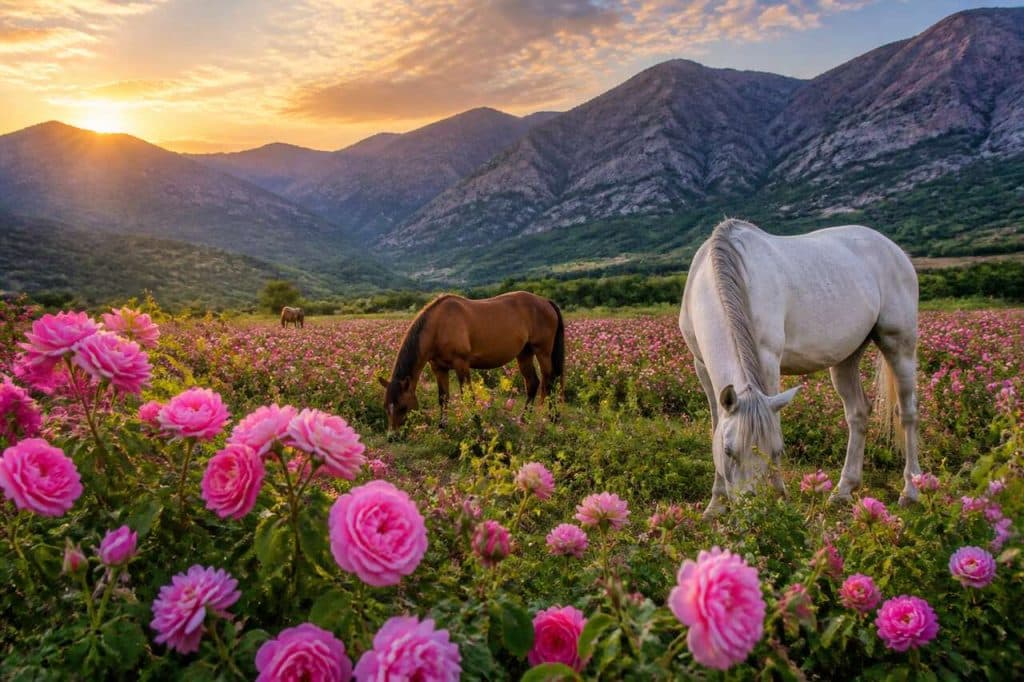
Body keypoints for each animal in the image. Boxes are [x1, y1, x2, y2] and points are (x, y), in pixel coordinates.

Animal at [378, 291, 565, 431]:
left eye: (403, 407)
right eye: (386, 406)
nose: (393, 436)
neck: (439, 326)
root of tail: (545, 301)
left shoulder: (461, 364)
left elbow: (468, 396)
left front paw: (477, 424)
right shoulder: (439, 368)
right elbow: (443, 398)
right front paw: (442, 426)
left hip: (543, 352)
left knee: (550, 382)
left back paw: (553, 417)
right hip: (524, 354)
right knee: (533, 383)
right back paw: (524, 419)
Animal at [678, 219, 920, 518]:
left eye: (776, 450)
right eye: (727, 451)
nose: (752, 507)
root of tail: (895, 251)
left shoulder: (768, 361)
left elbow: (774, 422)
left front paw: (779, 494)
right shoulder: (702, 367)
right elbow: (715, 424)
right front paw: (716, 504)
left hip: (899, 344)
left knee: (907, 413)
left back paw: (910, 491)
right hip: (846, 358)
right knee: (858, 412)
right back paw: (843, 490)